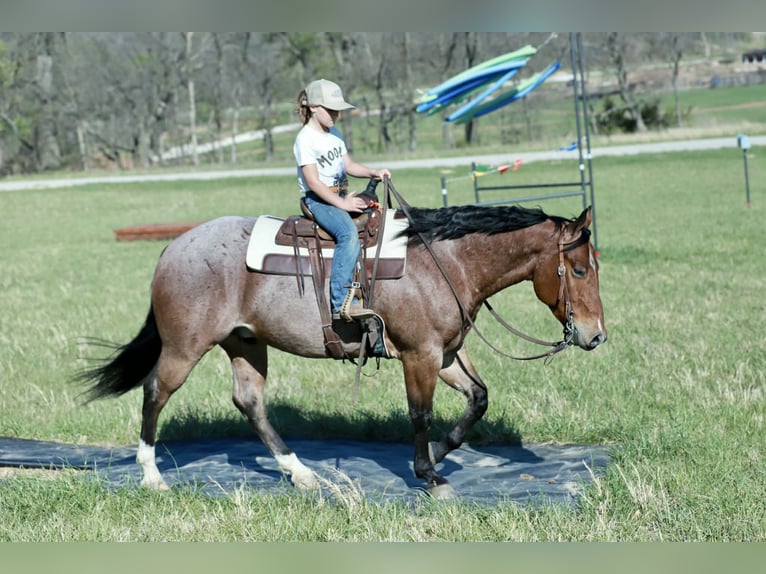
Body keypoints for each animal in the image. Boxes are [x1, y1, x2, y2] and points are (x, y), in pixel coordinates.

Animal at [78, 200, 606, 499]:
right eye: (579, 269)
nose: (596, 335)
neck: (445, 261)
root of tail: (173, 249)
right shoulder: (419, 355)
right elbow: (419, 413)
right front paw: (428, 474)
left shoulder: (446, 353)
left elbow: (478, 399)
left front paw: (438, 453)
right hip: (185, 346)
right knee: (155, 393)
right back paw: (152, 476)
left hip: (245, 343)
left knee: (250, 402)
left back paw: (300, 474)